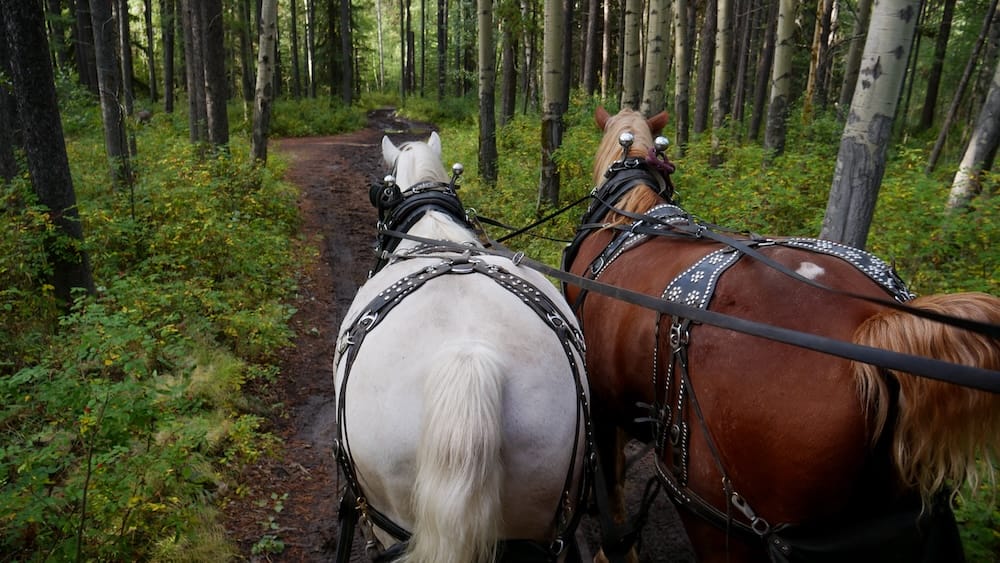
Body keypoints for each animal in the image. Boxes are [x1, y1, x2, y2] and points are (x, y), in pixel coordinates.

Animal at [562, 107, 1000, 563]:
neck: (625, 213)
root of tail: (869, 327)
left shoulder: (602, 398)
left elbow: (612, 483)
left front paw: (612, 548)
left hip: (716, 519)